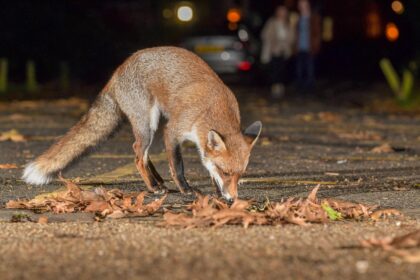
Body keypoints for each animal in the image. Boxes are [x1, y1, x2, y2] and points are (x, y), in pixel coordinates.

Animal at [22, 47, 262, 201]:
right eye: (225, 171)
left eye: (240, 175)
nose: (232, 200)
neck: (212, 108)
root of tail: (116, 72)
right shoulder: (173, 130)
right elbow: (178, 166)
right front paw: (186, 189)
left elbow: (208, 167)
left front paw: (217, 192)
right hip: (149, 123)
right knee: (138, 153)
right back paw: (153, 187)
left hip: (150, 125)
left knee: (143, 154)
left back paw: (159, 183)